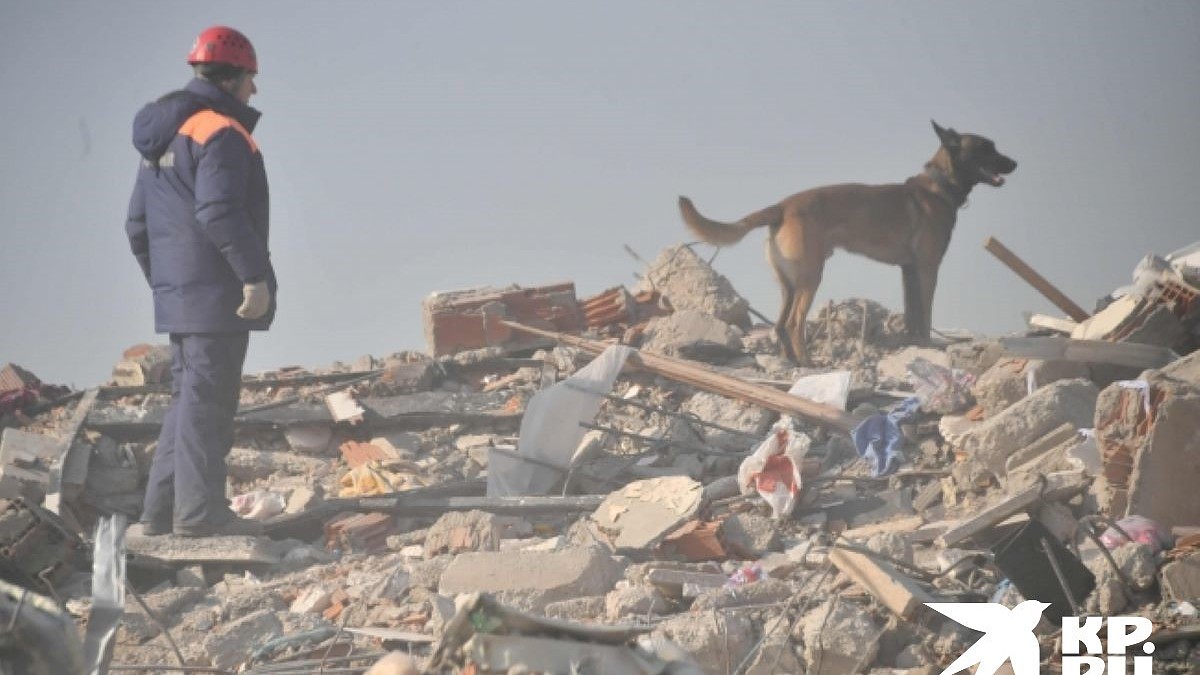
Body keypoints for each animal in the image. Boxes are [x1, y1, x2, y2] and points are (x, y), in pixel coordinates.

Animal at [681, 120, 1017, 362]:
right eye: (987, 148)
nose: (1015, 163)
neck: (940, 184)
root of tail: (783, 206)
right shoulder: (927, 269)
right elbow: (925, 313)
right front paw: (929, 345)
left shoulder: (908, 271)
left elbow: (913, 315)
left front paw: (915, 344)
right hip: (811, 277)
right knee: (793, 323)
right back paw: (807, 363)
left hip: (789, 283)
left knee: (779, 324)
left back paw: (791, 361)